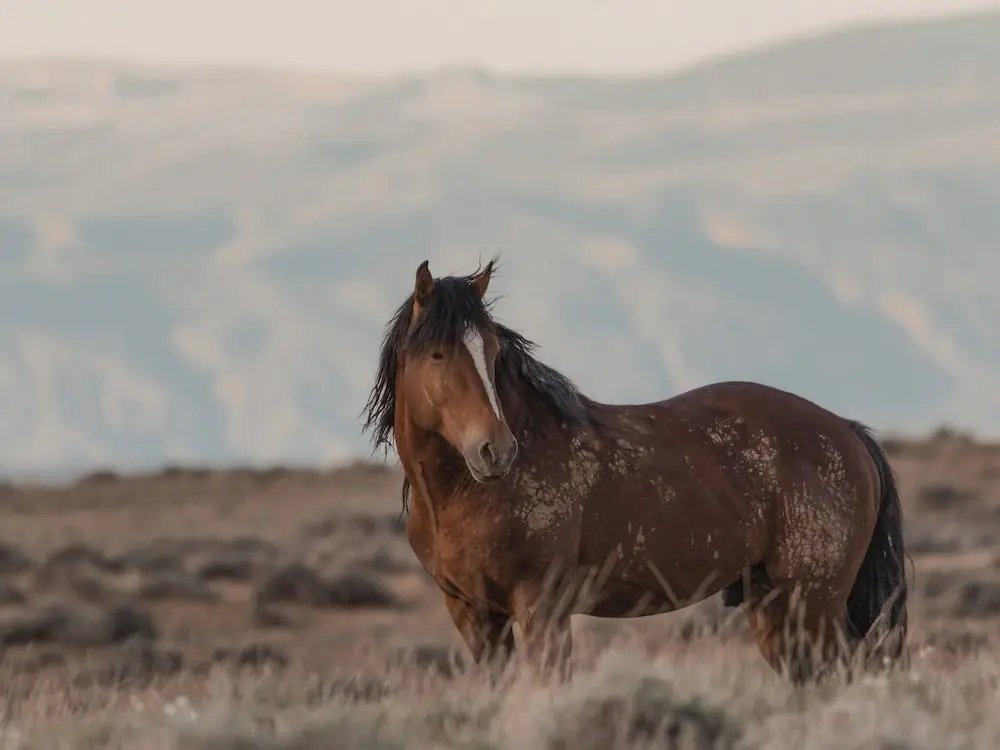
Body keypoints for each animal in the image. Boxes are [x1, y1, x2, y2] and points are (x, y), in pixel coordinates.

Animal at [361, 258, 908, 684]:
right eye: (438, 354)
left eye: (493, 352)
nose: (495, 450)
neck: (460, 499)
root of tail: (848, 432)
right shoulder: (475, 616)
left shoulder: (542, 607)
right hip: (776, 607)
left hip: (814, 603)